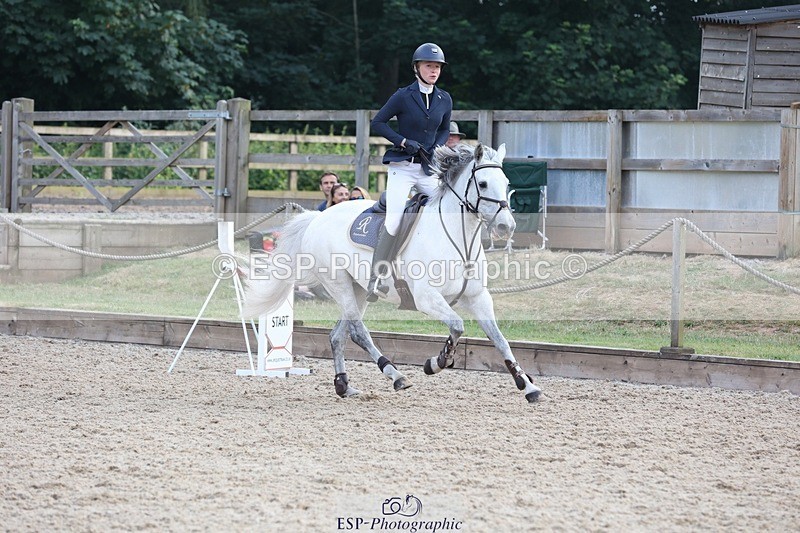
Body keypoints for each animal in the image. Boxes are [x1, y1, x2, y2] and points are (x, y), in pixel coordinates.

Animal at [243, 143, 542, 402]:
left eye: (506, 183)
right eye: (483, 184)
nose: (506, 227)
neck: (459, 239)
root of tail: (318, 217)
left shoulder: (479, 298)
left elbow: (500, 341)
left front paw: (527, 386)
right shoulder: (426, 297)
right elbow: (457, 325)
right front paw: (437, 362)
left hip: (359, 289)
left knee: (339, 335)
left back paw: (344, 386)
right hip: (338, 283)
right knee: (358, 332)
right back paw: (395, 375)